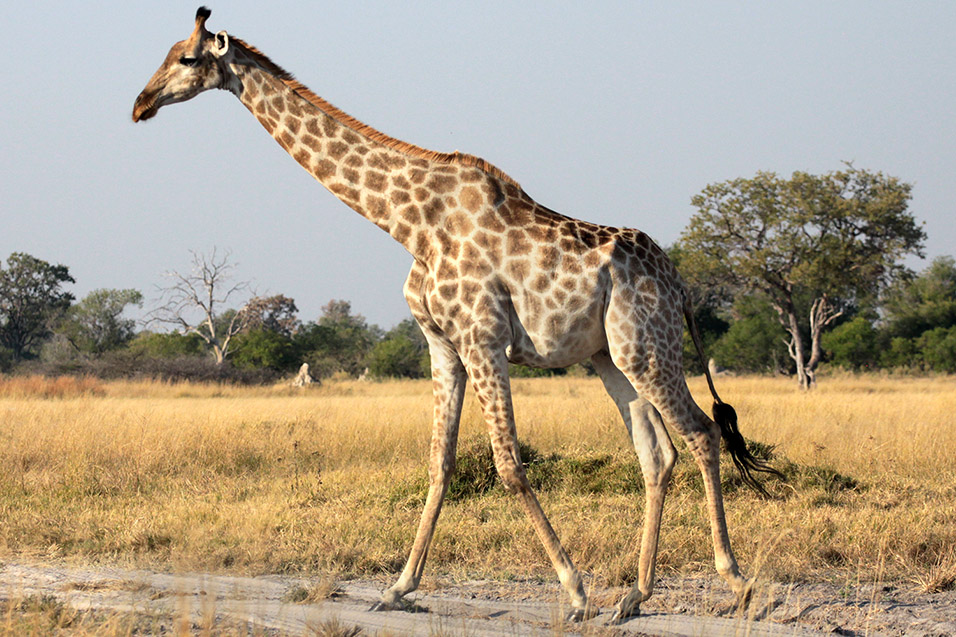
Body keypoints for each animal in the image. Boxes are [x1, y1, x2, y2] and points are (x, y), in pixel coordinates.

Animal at [133, 6, 776, 620]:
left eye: (188, 58)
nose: (140, 104)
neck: (409, 225)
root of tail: (681, 284)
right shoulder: (441, 344)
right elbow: (440, 462)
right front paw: (397, 588)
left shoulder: (482, 338)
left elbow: (508, 464)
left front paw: (574, 592)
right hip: (608, 357)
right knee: (657, 453)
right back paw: (635, 597)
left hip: (646, 346)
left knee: (701, 433)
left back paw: (736, 582)